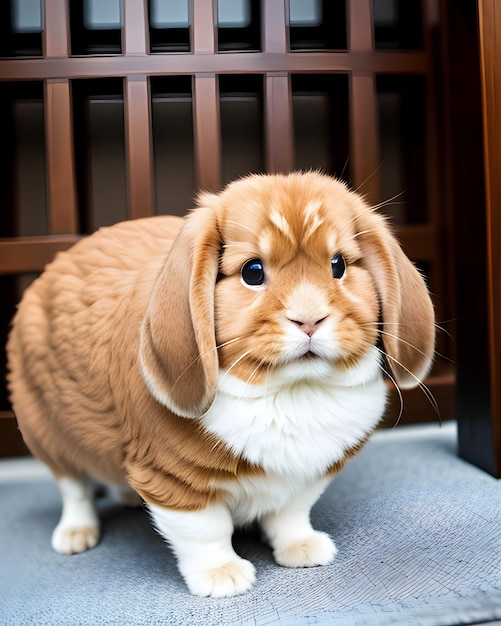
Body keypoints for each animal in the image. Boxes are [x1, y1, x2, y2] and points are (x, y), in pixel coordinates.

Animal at [7, 171, 436, 596]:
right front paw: (222, 576)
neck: (290, 391)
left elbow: (291, 513)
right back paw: (76, 534)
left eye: (338, 264)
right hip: (47, 435)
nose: (310, 319)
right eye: (253, 272)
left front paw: (302, 548)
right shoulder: (175, 483)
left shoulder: (309, 476)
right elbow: (206, 532)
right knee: (73, 489)